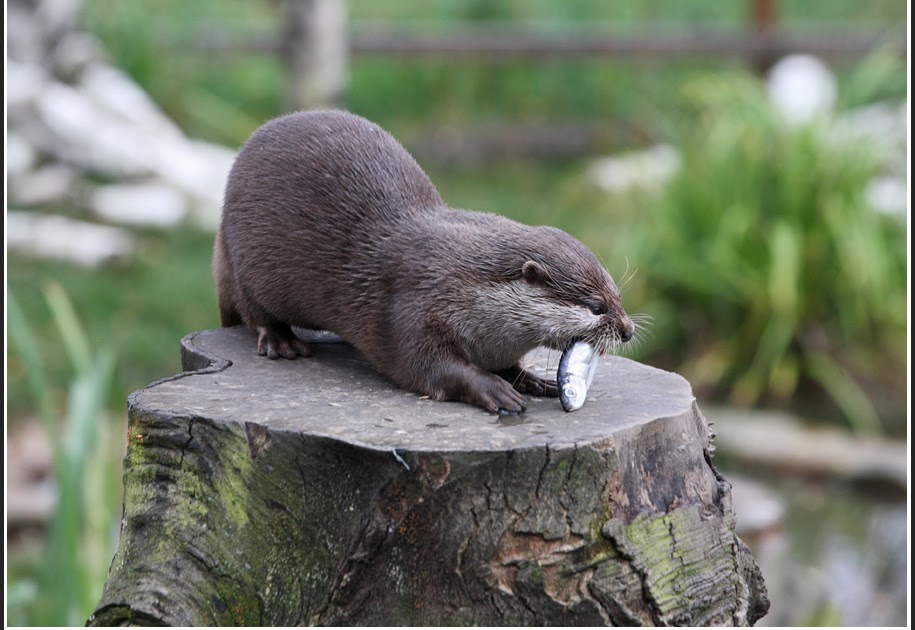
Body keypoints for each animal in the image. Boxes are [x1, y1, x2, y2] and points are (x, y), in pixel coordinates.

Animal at [214, 110, 635, 413]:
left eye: (617, 295)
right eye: (597, 307)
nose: (628, 330)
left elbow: (508, 367)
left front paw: (532, 379)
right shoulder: (413, 305)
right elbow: (424, 366)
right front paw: (493, 388)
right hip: (243, 263)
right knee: (255, 313)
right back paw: (282, 342)